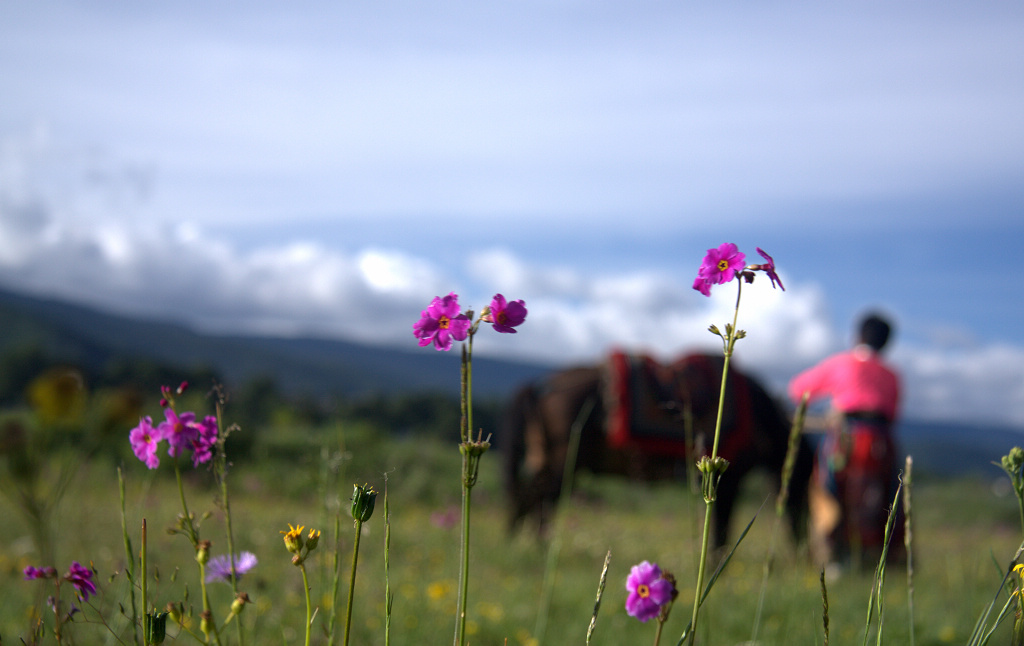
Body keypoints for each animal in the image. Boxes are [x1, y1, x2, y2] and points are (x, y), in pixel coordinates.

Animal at [503, 352, 815, 548]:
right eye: (802, 483)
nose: (804, 545)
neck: (758, 413)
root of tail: (544, 385)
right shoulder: (731, 483)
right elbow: (721, 535)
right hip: (563, 462)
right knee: (542, 501)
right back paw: (538, 545)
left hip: (545, 458)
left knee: (529, 497)